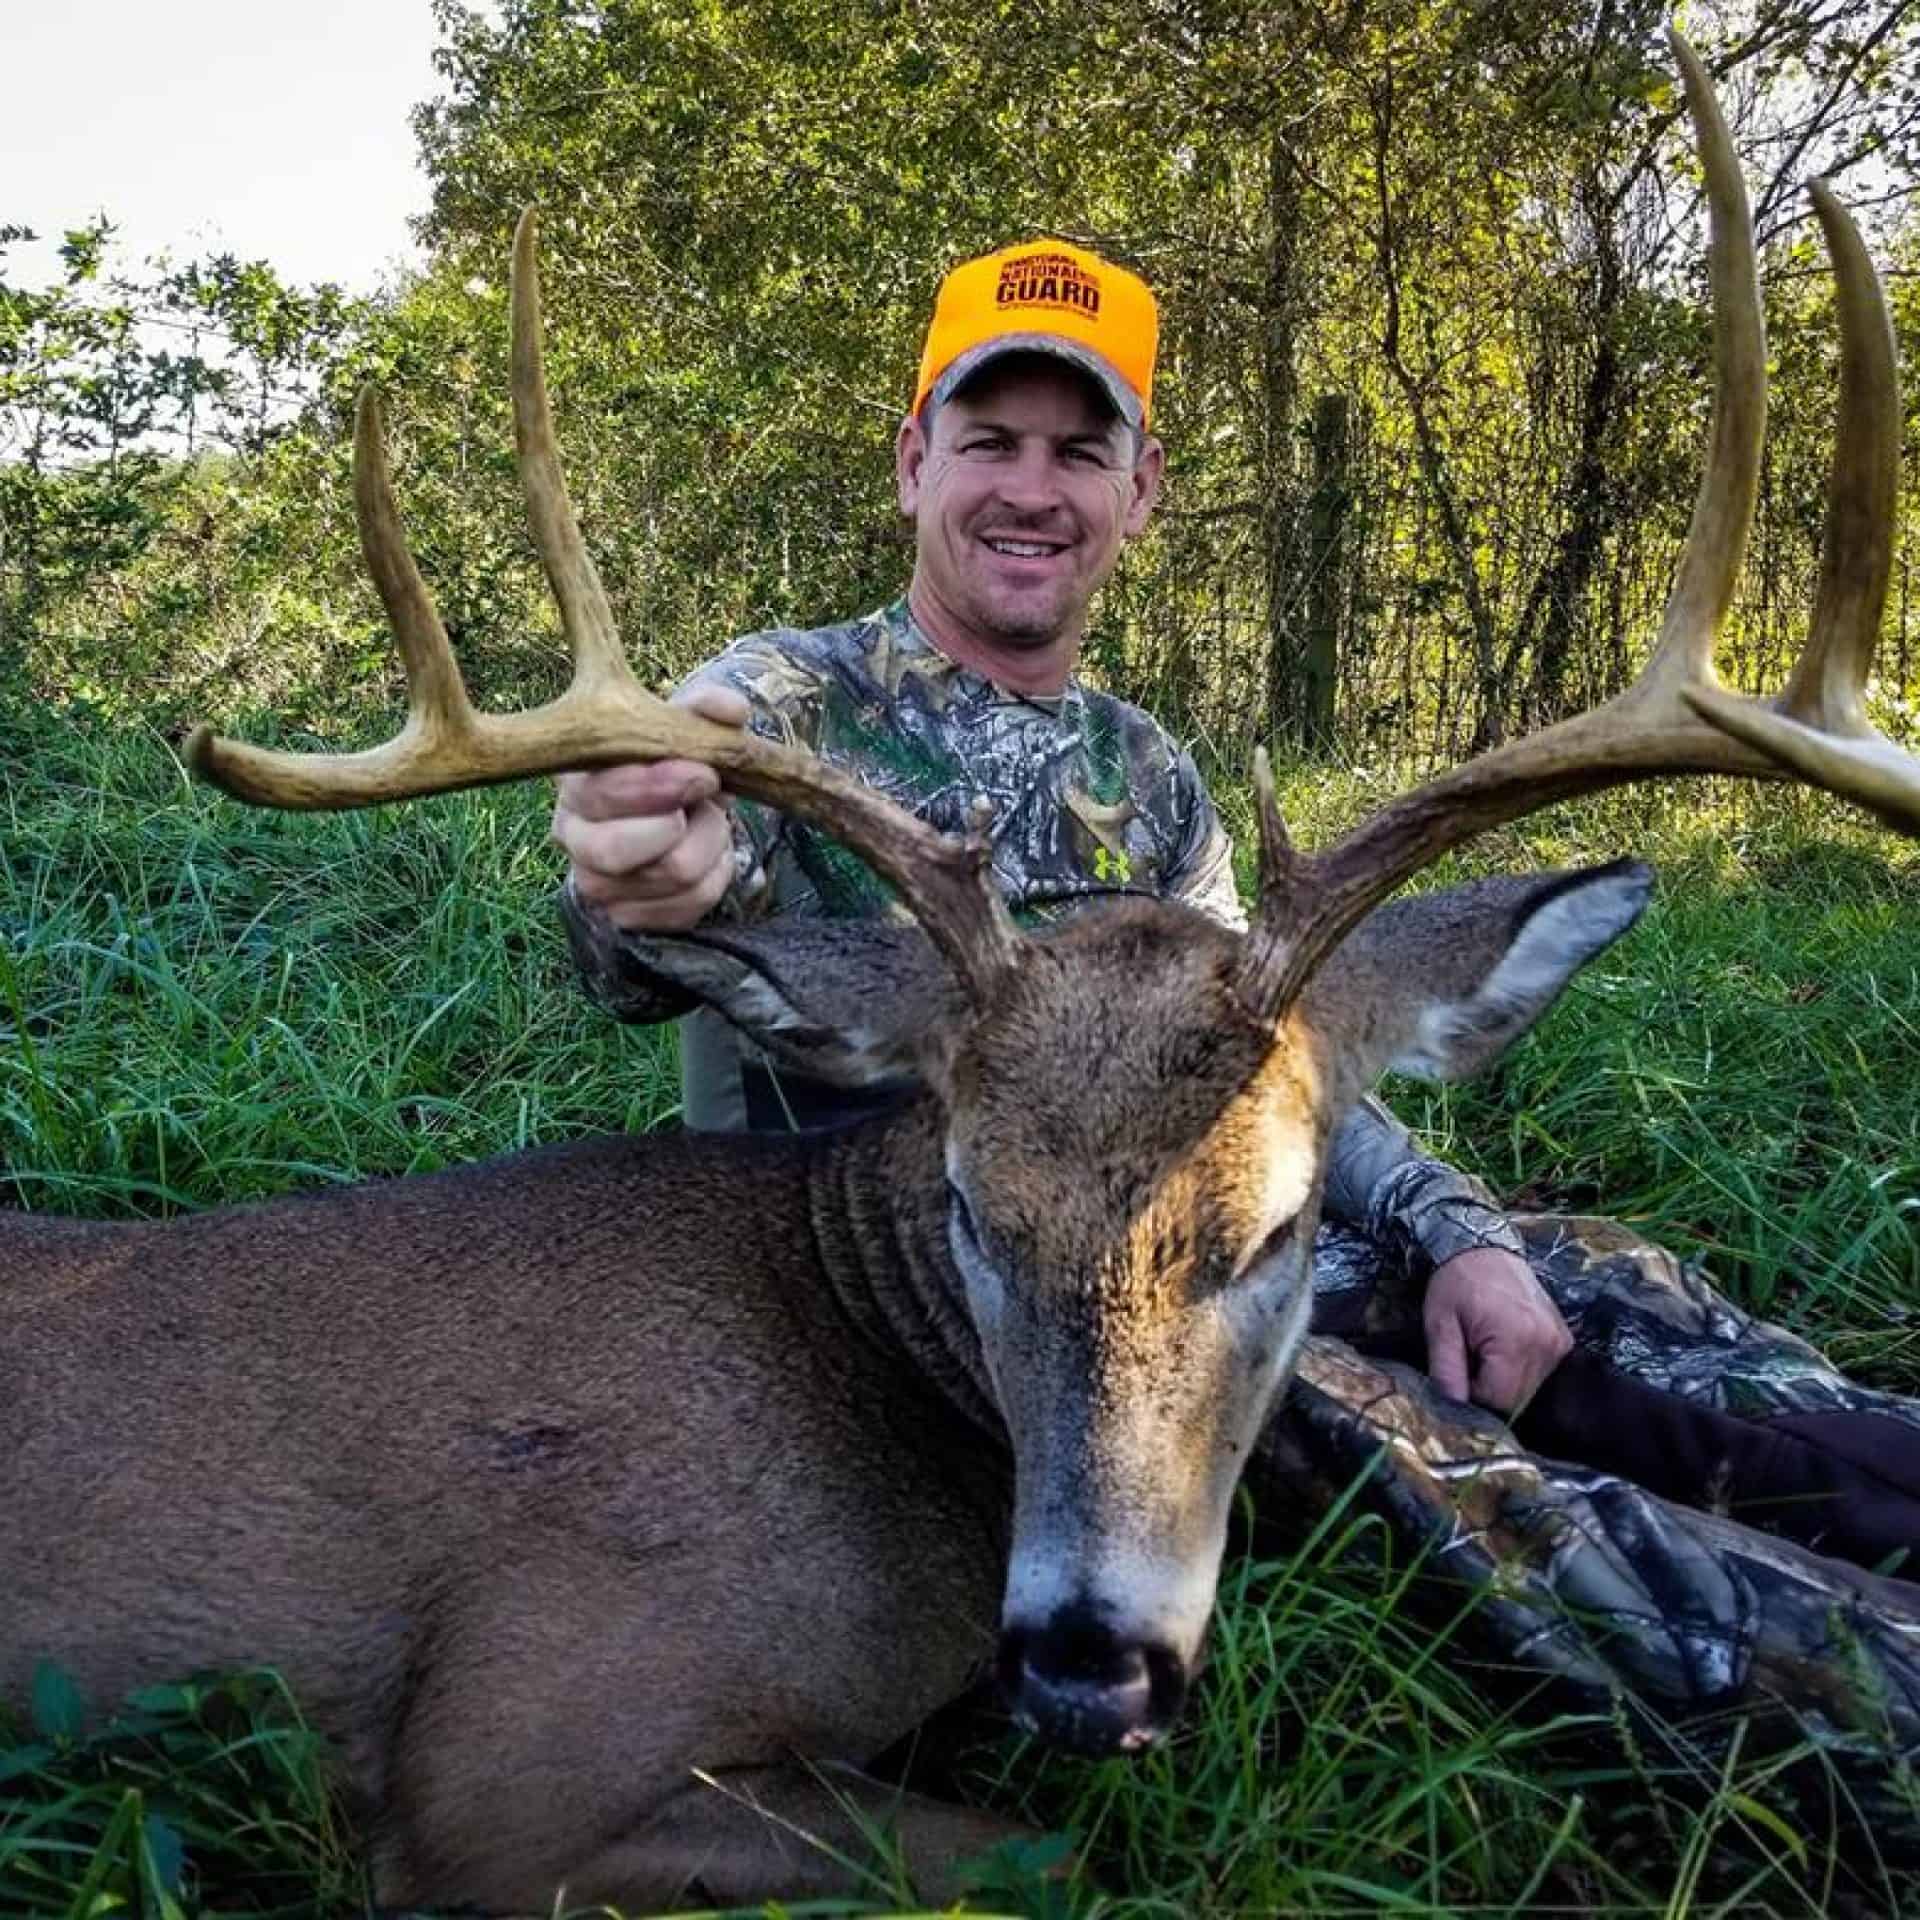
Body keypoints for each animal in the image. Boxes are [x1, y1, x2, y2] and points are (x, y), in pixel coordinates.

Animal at [3, 34, 1915, 1916]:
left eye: (1285, 1229)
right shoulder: (512, 1768)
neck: (859, 1360)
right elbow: (1054, 1856)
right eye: (973, 1208)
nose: (1087, 1659)